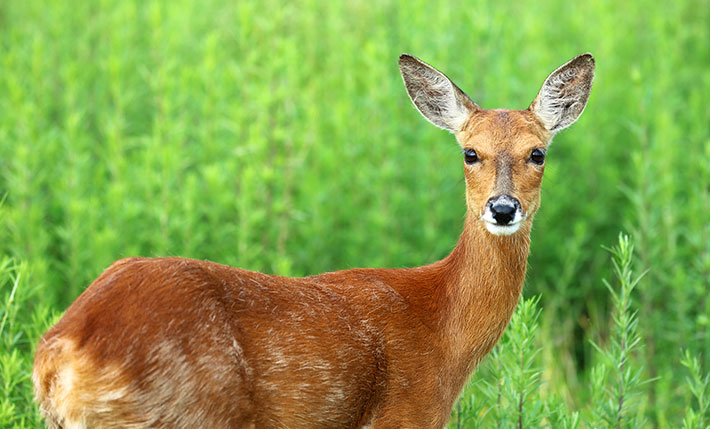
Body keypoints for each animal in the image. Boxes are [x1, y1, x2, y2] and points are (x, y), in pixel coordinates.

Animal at [34, 51, 596, 426]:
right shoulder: (405, 414)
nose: (502, 208)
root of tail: (60, 353)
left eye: (538, 153)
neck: (442, 328)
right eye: (470, 152)